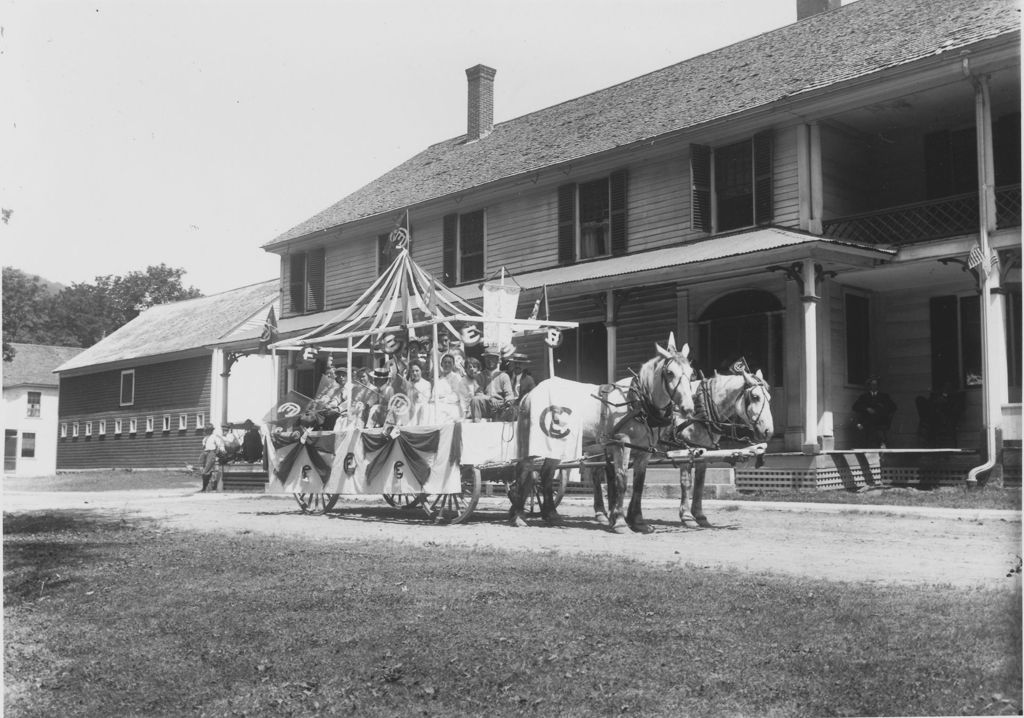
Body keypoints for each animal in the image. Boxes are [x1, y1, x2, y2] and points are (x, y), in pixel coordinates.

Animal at [512, 331, 696, 532]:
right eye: (670, 373)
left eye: (691, 373)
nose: (688, 408)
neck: (638, 402)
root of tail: (530, 394)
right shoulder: (622, 444)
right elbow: (621, 481)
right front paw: (621, 522)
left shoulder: (644, 451)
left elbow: (638, 484)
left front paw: (638, 521)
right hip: (533, 443)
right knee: (525, 470)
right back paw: (518, 516)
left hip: (559, 446)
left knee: (545, 474)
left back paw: (551, 515)